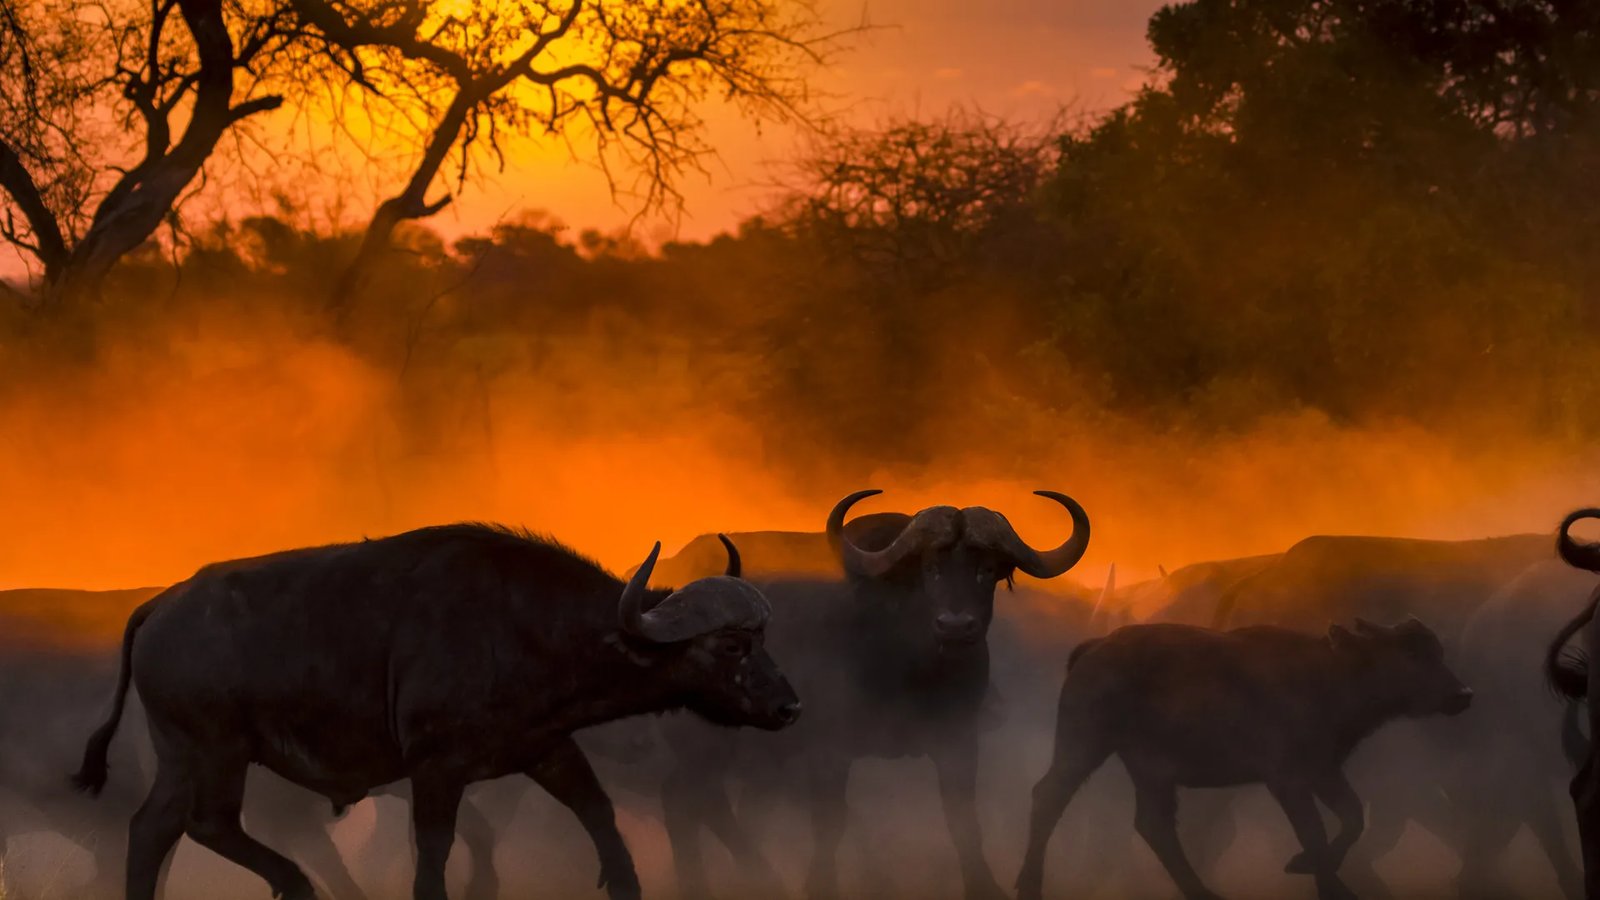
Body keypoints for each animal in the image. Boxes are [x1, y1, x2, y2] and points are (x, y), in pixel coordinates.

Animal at [70, 524, 800, 900]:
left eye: (764, 637)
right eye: (732, 645)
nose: (789, 705)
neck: (522, 623)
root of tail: (163, 605)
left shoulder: (547, 748)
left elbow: (600, 815)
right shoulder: (435, 768)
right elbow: (434, 848)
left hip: (181, 756)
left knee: (152, 830)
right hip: (216, 750)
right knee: (207, 824)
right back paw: (298, 885)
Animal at [1017, 619, 1474, 900]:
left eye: (1437, 652)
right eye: (1410, 655)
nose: (1462, 694)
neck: (1329, 673)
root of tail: (1096, 647)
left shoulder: (1324, 771)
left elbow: (1351, 817)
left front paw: (1313, 871)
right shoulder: (1288, 779)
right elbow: (1314, 831)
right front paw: (1323, 879)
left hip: (1151, 772)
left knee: (1153, 824)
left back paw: (1205, 893)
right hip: (1084, 745)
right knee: (1048, 796)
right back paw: (1028, 886)